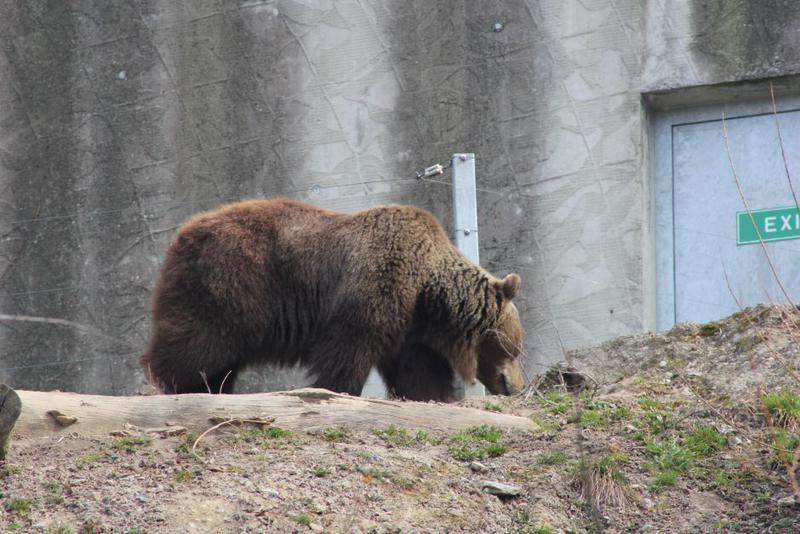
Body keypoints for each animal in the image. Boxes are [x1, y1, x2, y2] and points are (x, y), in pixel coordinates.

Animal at [139, 198, 525, 401]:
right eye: (515, 349)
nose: (515, 387)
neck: (427, 289)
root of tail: (182, 233)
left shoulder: (409, 326)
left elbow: (417, 370)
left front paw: (432, 395)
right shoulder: (376, 286)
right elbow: (347, 348)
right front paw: (337, 390)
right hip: (228, 284)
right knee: (196, 344)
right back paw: (173, 385)